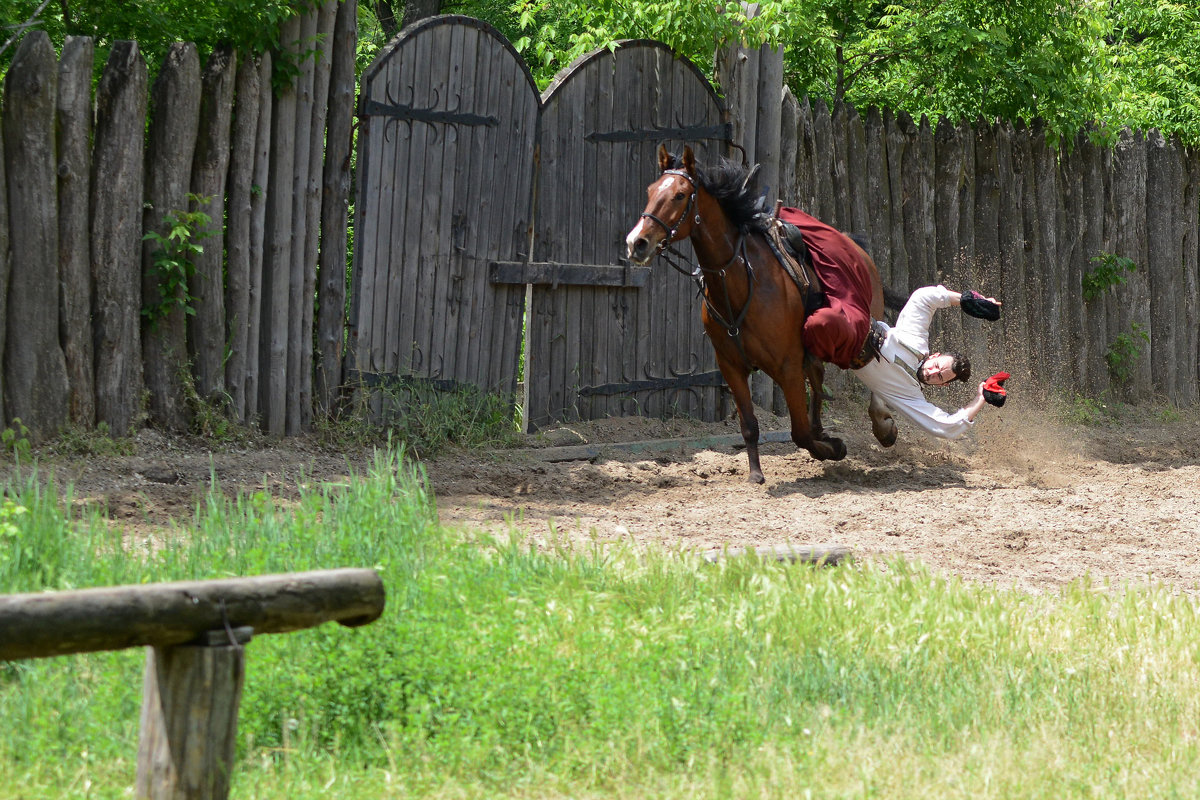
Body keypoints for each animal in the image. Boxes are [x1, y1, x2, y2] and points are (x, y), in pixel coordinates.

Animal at [628, 144, 892, 484]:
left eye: (679, 195)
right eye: (650, 191)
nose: (637, 242)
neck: (741, 281)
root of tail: (857, 248)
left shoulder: (787, 367)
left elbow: (799, 433)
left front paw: (832, 448)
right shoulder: (732, 367)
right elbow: (750, 426)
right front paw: (756, 472)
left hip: (859, 327)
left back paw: (882, 424)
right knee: (819, 378)